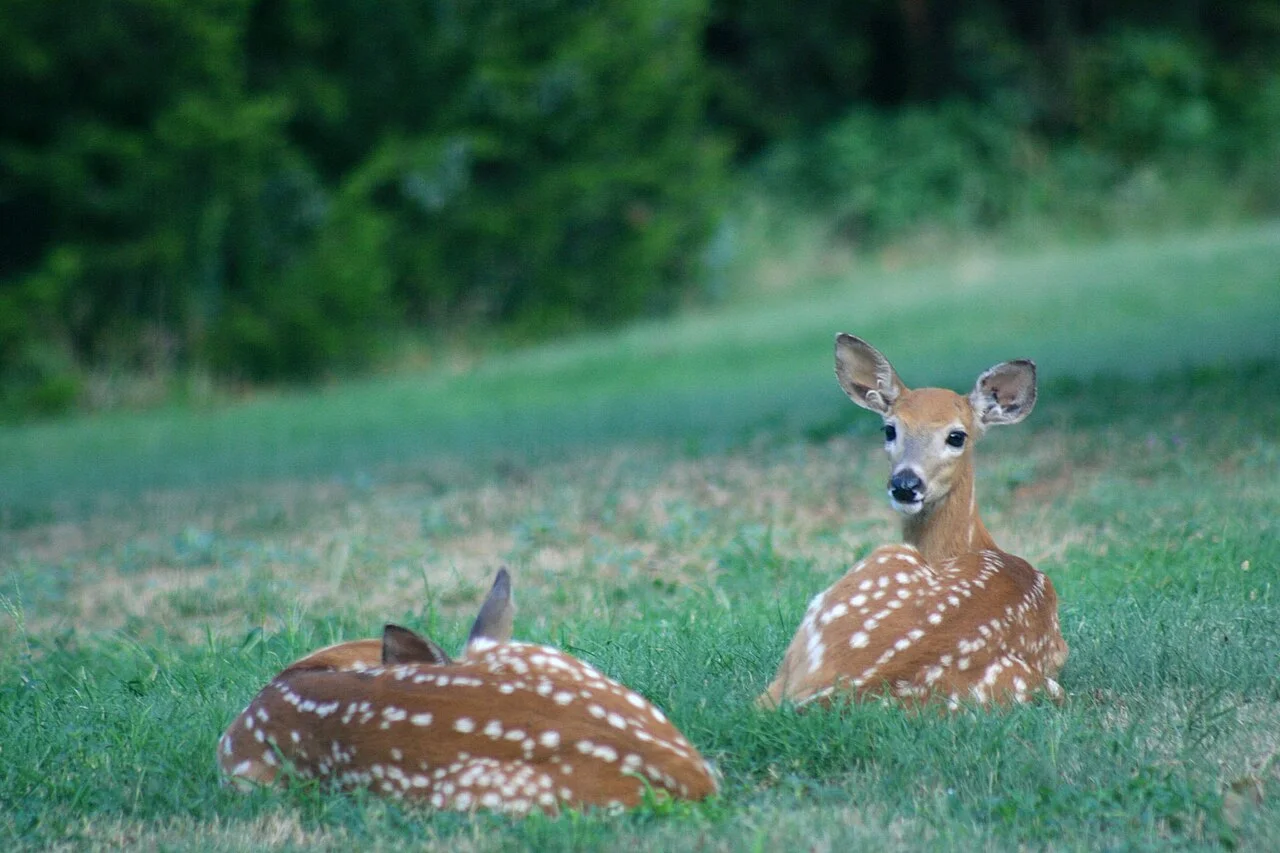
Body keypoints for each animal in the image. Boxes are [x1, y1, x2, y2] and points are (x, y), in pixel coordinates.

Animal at [759, 334, 1068, 710]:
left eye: (957, 436)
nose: (905, 484)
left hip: (885, 558)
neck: (975, 545)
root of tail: (831, 692)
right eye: (889, 429)